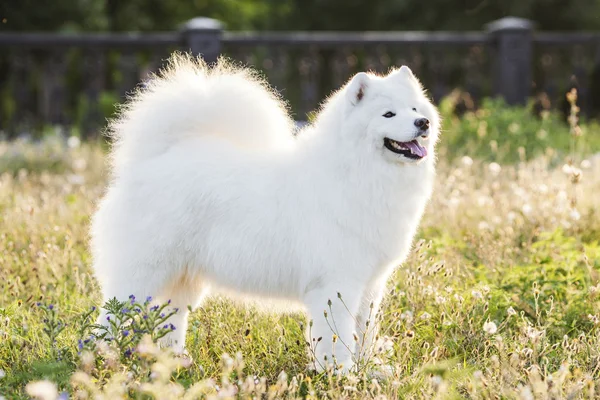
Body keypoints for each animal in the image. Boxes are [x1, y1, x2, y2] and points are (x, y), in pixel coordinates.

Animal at [92, 53, 440, 372]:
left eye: (415, 109)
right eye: (388, 114)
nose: (423, 123)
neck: (358, 173)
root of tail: (157, 158)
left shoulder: (369, 286)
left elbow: (363, 334)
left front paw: (368, 371)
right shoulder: (336, 285)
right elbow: (337, 337)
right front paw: (340, 375)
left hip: (181, 280)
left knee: (169, 322)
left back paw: (173, 363)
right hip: (144, 273)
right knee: (111, 318)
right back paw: (102, 361)